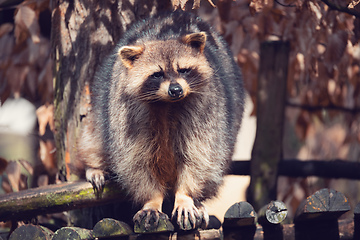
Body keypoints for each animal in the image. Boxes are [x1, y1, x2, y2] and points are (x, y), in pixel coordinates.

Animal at [76, 10, 245, 231]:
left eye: (183, 70)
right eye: (157, 74)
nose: (176, 90)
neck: (167, 104)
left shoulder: (207, 109)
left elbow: (199, 155)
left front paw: (185, 196)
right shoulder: (127, 114)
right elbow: (135, 162)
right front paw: (152, 200)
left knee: (215, 162)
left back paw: (199, 202)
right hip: (103, 106)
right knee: (94, 134)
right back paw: (94, 164)